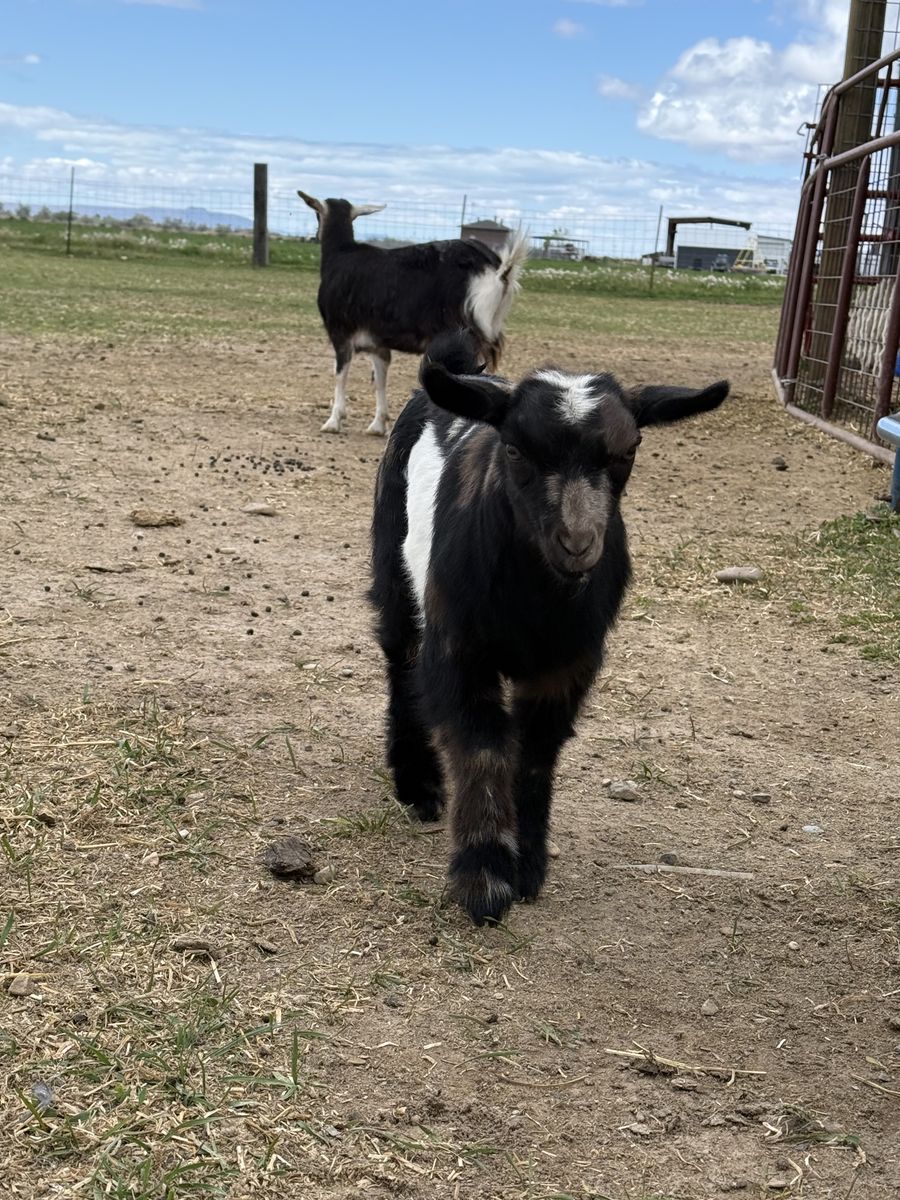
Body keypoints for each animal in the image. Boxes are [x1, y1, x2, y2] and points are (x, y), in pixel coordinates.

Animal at [298, 191, 528, 435]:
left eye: (317, 214)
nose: (314, 235)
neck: (341, 253)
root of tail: (500, 271)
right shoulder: (377, 343)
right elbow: (380, 378)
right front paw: (378, 424)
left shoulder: (340, 331)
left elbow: (340, 374)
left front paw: (333, 421)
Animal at [370, 332, 729, 925]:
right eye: (515, 450)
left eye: (628, 451)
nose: (578, 544)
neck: (536, 601)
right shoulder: (461, 647)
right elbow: (483, 746)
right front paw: (483, 879)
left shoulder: (568, 663)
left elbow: (535, 755)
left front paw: (527, 865)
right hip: (393, 559)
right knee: (400, 659)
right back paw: (416, 783)